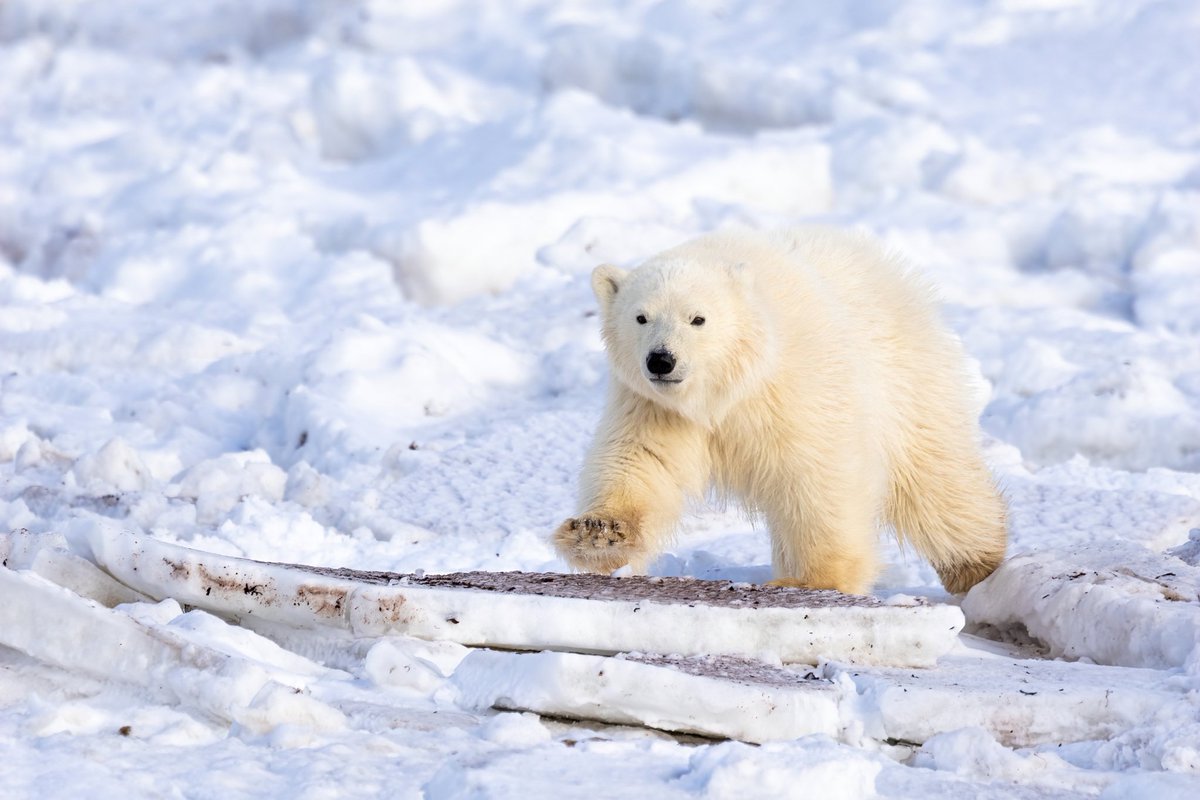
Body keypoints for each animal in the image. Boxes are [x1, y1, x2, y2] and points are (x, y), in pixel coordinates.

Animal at [553, 226, 1007, 595]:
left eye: (698, 318)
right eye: (641, 317)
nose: (661, 360)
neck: (726, 390)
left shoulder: (796, 386)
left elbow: (816, 473)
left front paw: (816, 579)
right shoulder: (655, 408)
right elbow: (641, 461)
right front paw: (597, 534)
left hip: (906, 378)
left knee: (935, 481)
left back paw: (976, 563)